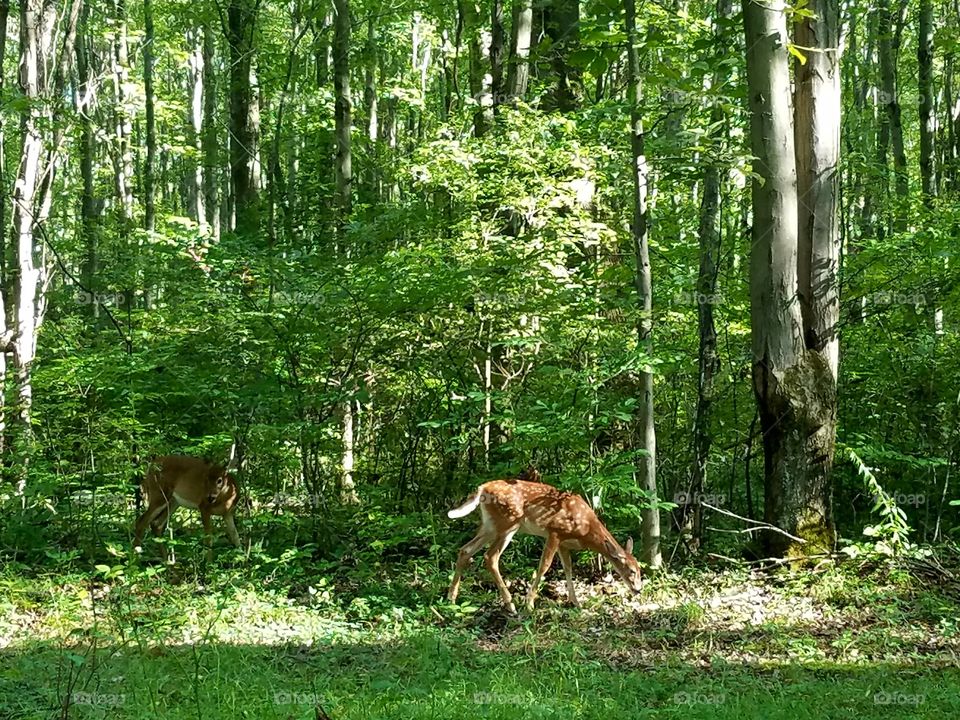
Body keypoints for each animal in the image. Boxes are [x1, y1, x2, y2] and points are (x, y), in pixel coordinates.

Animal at [446, 468, 643, 613]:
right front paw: (529, 604)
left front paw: (576, 603)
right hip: (508, 522)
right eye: (631, 570)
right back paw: (510, 604)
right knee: (490, 556)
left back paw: (451, 598)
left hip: (490, 525)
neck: (586, 529)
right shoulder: (555, 531)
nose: (639, 589)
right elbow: (544, 566)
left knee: (465, 550)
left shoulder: (564, 543)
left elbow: (568, 569)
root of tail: (482, 488)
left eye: (640, 570)